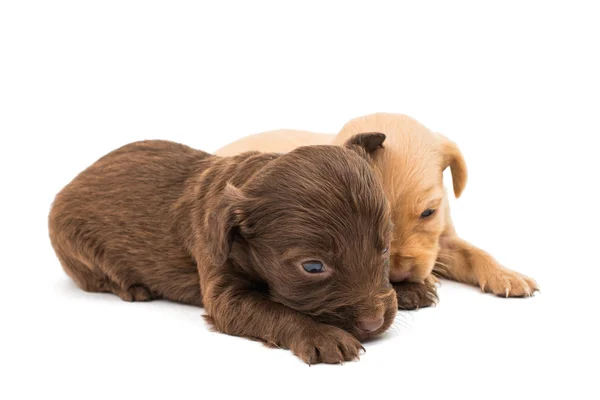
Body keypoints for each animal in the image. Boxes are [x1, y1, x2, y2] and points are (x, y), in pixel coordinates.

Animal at [49, 135, 396, 366]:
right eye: (313, 267)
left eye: (385, 247)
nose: (374, 322)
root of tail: (72, 181)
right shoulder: (222, 285)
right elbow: (275, 310)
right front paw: (322, 335)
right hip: (75, 243)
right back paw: (133, 288)